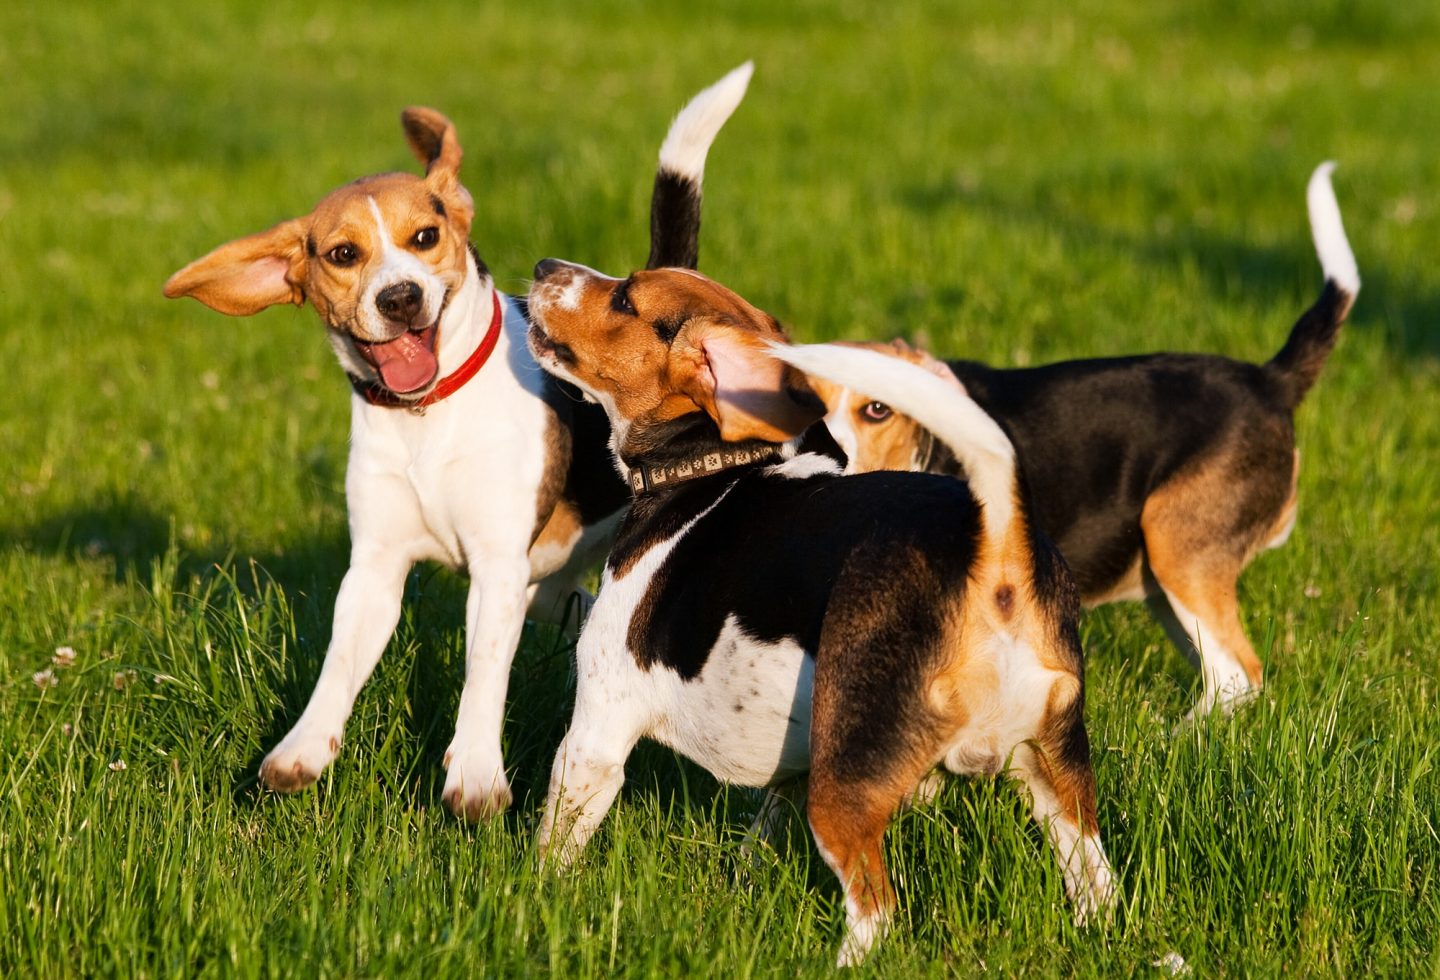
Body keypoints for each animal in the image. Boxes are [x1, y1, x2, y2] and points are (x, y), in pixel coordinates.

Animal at [160, 62, 754, 817]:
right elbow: (339, 661)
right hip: (548, 583)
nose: (400, 298)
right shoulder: (377, 566)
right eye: (343, 255)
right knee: (576, 607)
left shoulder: (496, 567)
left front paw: (474, 777)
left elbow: (483, 676)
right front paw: (302, 750)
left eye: (424, 238)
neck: (427, 414)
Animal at [527, 260, 1111, 961]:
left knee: (876, 912)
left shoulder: (597, 731)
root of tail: (994, 549)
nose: (544, 268)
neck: (714, 465)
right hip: (1052, 768)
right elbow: (762, 830)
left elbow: (555, 838)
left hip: (845, 790)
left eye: (624, 300)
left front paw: (527, 899)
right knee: (1099, 881)